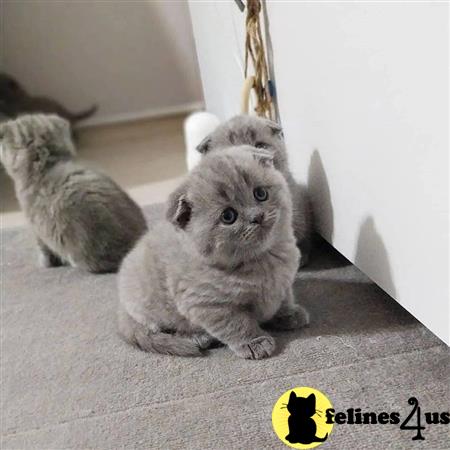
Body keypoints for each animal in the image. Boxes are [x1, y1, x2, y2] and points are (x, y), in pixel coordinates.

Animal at [117, 145, 310, 358]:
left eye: (260, 193)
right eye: (228, 216)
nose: (257, 216)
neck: (265, 258)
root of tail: (122, 309)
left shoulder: (284, 282)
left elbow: (284, 298)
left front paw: (288, 314)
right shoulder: (207, 304)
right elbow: (236, 324)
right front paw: (255, 342)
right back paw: (199, 338)